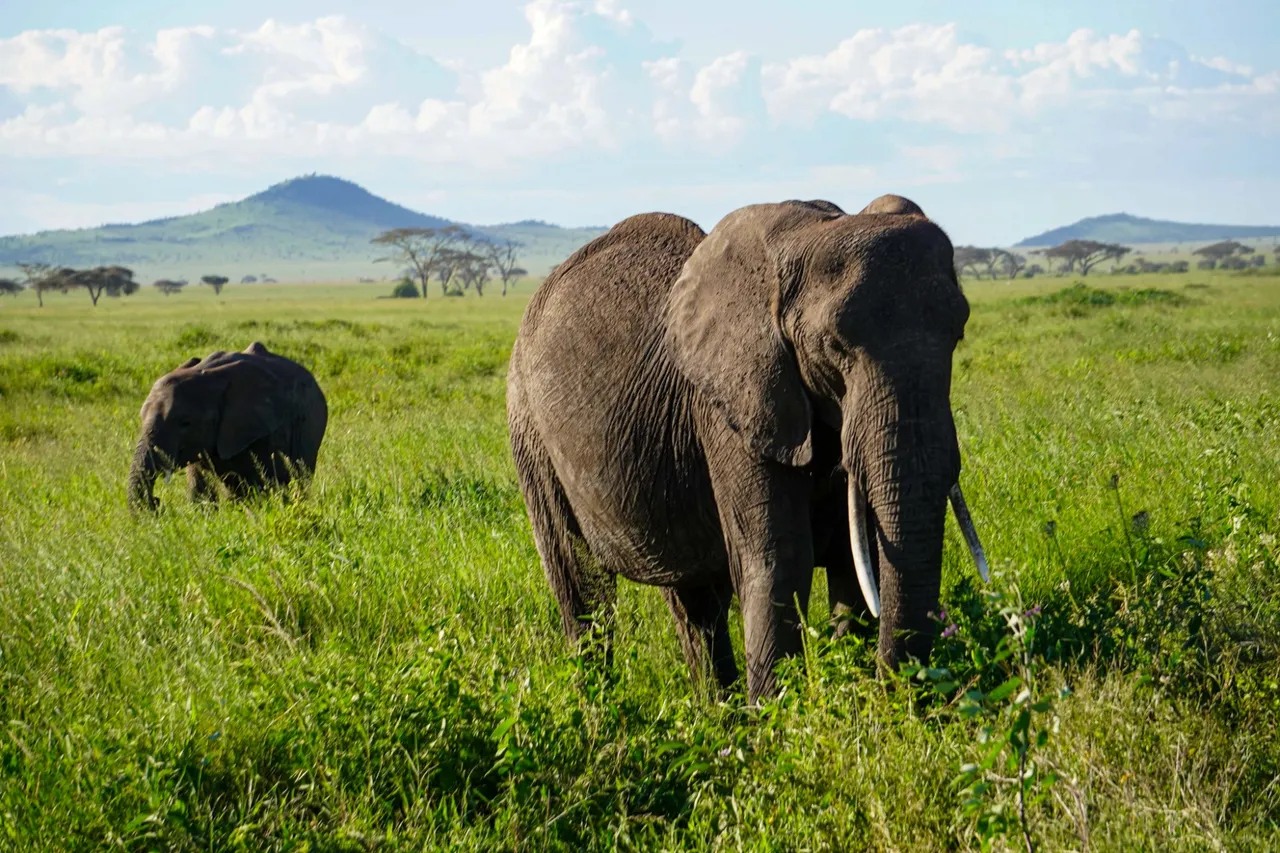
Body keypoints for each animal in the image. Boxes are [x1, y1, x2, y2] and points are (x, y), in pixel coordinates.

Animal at [504, 197, 983, 696]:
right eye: (834, 345)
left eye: (958, 334)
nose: (895, 690)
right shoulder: (732, 411)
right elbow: (781, 563)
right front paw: (781, 714)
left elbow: (856, 559)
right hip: (529, 431)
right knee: (582, 586)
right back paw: (598, 702)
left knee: (694, 600)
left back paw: (716, 711)